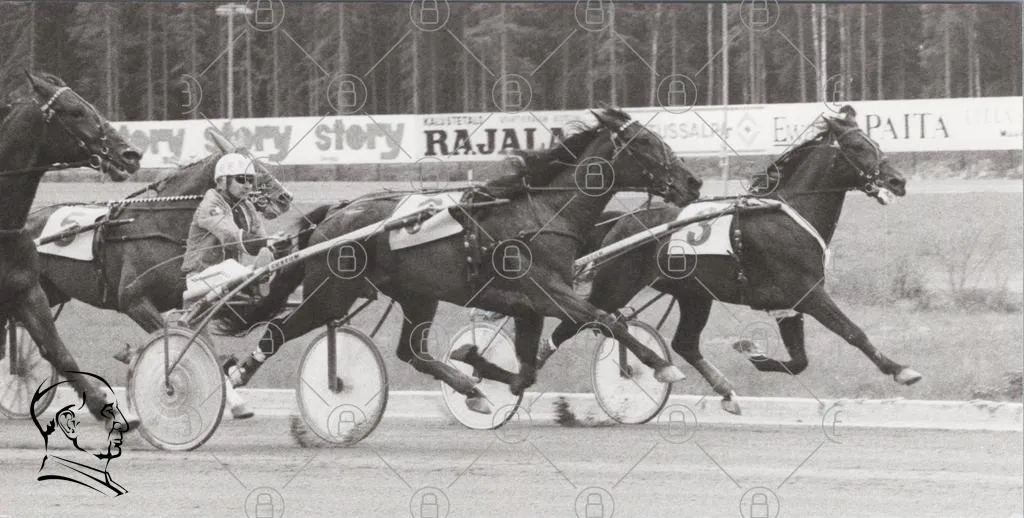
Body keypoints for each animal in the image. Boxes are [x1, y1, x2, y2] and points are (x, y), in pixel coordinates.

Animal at [217, 107, 703, 414]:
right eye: (645, 142)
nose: (694, 182)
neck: (541, 216)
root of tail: (335, 215)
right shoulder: (546, 293)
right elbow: (606, 320)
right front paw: (662, 365)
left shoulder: (529, 305)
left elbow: (527, 370)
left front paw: (478, 364)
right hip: (330, 294)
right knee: (277, 332)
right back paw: (235, 380)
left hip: (416, 295)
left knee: (411, 350)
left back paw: (469, 389)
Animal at [534, 106, 920, 415]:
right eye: (858, 147)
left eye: (875, 142)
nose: (897, 181)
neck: (786, 214)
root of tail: (620, 222)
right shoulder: (809, 293)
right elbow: (853, 331)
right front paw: (901, 370)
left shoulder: (788, 304)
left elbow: (799, 361)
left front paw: (752, 352)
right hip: (616, 285)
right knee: (579, 321)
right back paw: (535, 363)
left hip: (694, 294)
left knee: (684, 343)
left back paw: (724, 391)